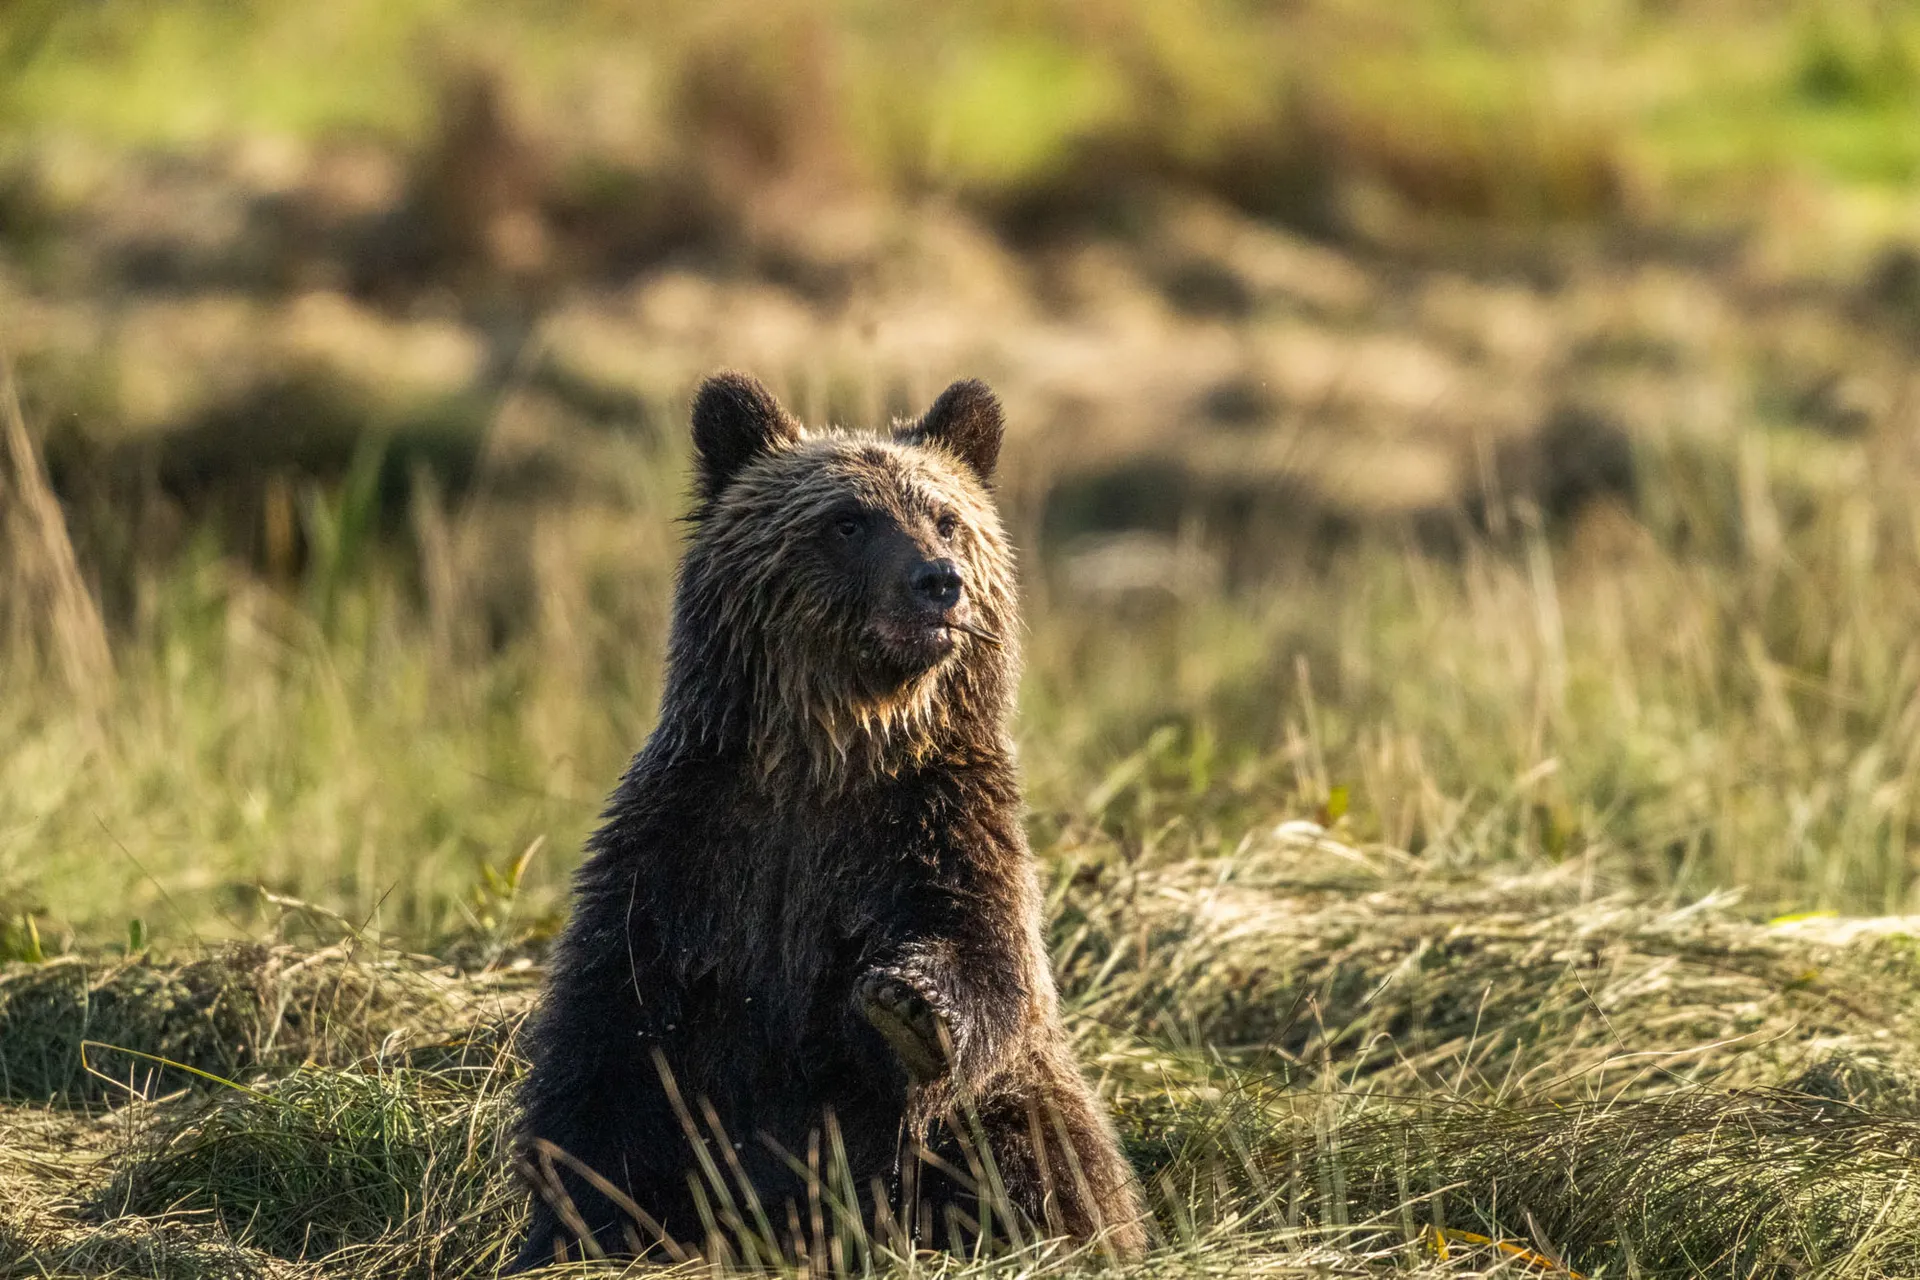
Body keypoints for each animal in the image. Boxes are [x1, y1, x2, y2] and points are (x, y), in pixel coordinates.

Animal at [508, 372, 1147, 1271]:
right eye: (848, 521)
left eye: (945, 517)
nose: (937, 580)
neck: (831, 756)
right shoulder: (685, 848)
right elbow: (607, 1057)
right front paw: (575, 1227)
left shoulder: (940, 826)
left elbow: (985, 958)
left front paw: (909, 1004)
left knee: (1036, 1153)